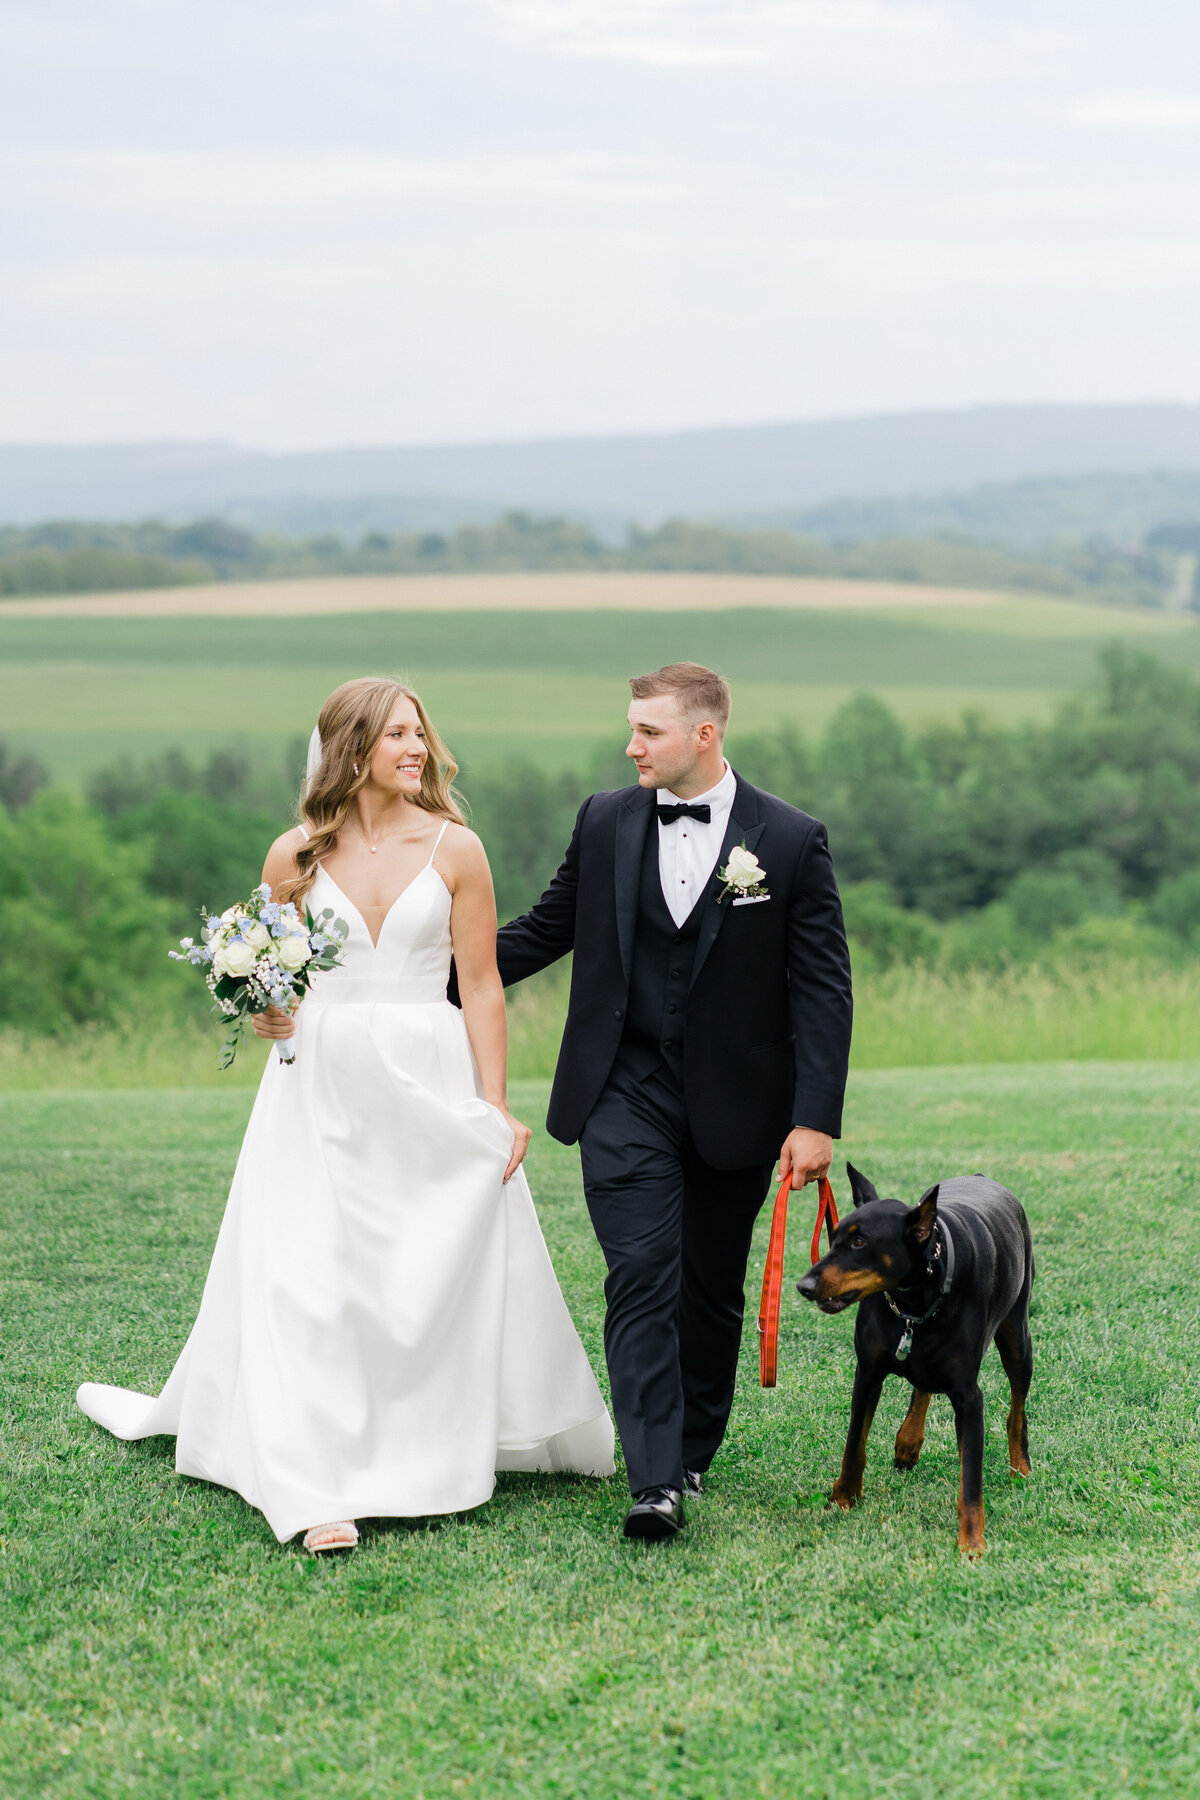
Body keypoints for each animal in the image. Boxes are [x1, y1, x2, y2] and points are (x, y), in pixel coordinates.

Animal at [798, 1159, 1036, 1555]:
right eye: (834, 1239)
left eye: (860, 1242)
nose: (804, 1286)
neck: (914, 1296)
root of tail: (980, 1178)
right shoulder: (867, 1373)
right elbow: (854, 1444)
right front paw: (843, 1499)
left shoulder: (968, 1396)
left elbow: (971, 1477)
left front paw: (972, 1541)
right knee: (922, 1385)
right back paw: (908, 1442)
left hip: (1018, 1338)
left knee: (1016, 1410)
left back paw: (1020, 1466)